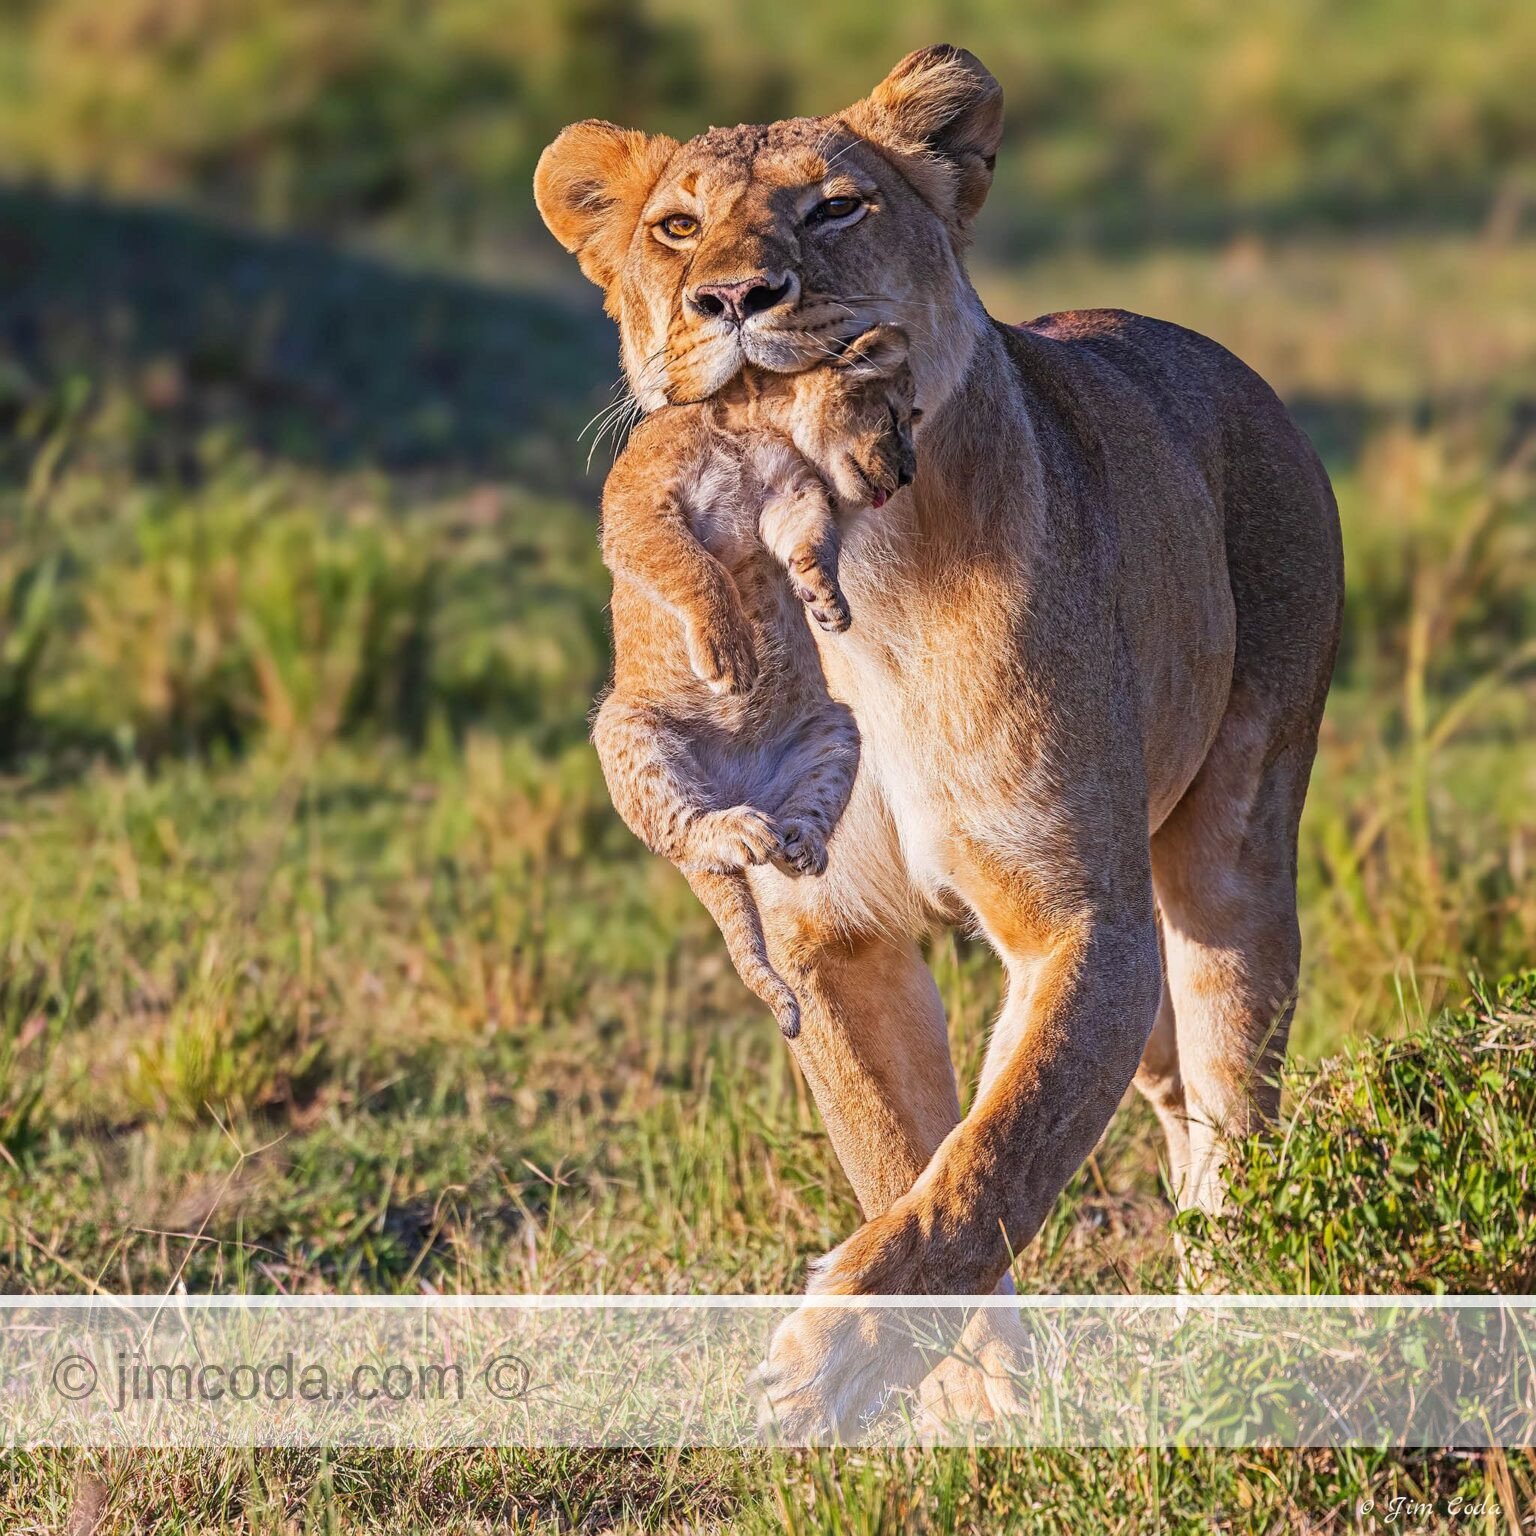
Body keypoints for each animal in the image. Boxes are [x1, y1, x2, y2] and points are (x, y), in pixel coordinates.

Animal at [592, 325, 918, 1041]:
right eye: (897, 416)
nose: (909, 473)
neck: (746, 427)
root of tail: (739, 789)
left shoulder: (789, 494)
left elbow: (812, 538)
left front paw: (827, 600)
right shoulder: (639, 507)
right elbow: (693, 567)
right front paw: (731, 656)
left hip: (835, 727)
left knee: (801, 818)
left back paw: (798, 842)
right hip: (626, 729)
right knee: (688, 829)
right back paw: (736, 830)